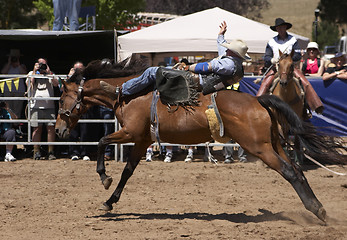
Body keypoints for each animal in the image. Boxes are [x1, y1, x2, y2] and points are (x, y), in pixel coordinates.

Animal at [55, 57, 346, 221]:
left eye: (61, 98)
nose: (58, 130)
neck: (128, 96)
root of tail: (258, 101)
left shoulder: (129, 134)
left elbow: (101, 142)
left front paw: (104, 178)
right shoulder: (141, 140)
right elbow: (128, 171)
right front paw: (109, 201)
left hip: (259, 147)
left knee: (290, 172)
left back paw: (317, 211)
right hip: (273, 144)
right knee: (297, 169)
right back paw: (316, 207)